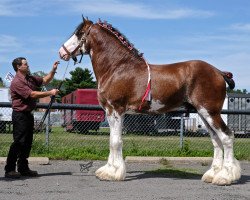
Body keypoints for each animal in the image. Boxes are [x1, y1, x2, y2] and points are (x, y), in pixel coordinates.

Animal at [58, 18, 240, 185]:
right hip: (203, 113)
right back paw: (212, 175)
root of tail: (218, 72)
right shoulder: (110, 112)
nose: (61, 52)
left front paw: (113, 173)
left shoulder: (115, 110)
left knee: (226, 136)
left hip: (210, 112)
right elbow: (112, 140)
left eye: (79, 33)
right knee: (216, 140)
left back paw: (224, 177)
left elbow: (115, 142)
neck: (117, 67)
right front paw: (108, 171)